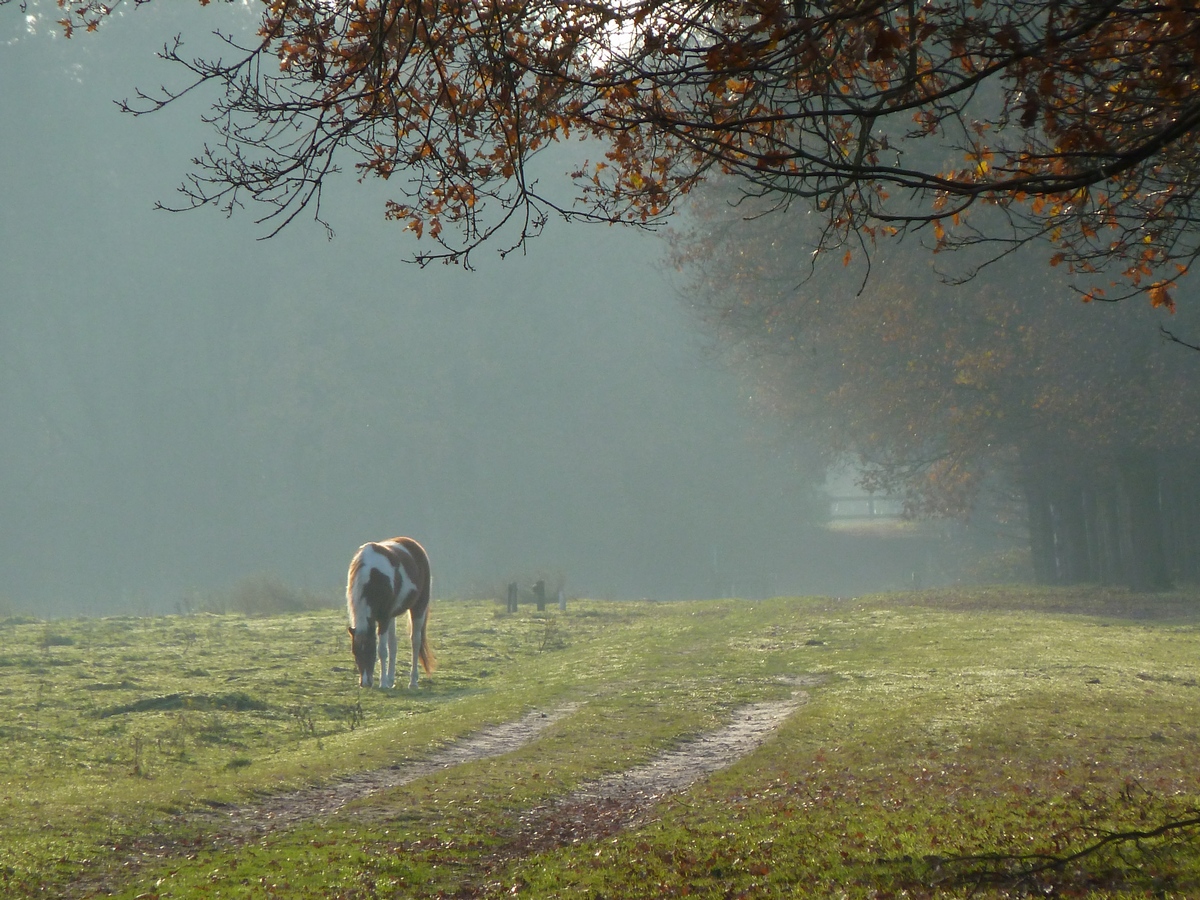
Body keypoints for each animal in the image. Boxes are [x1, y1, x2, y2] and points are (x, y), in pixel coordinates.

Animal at [346, 537, 435, 689]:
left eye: (371, 651)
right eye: (355, 652)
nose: (365, 683)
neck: (372, 576)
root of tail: (412, 543)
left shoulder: (383, 618)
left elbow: (382, 650)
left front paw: (382, 683)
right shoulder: (387, 618)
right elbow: (389, 647)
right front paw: (386, 681)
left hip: (418, 608)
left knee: (415, 642)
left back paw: (412, 682)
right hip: (392, 617)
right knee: (393, 644)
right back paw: (391, 679)